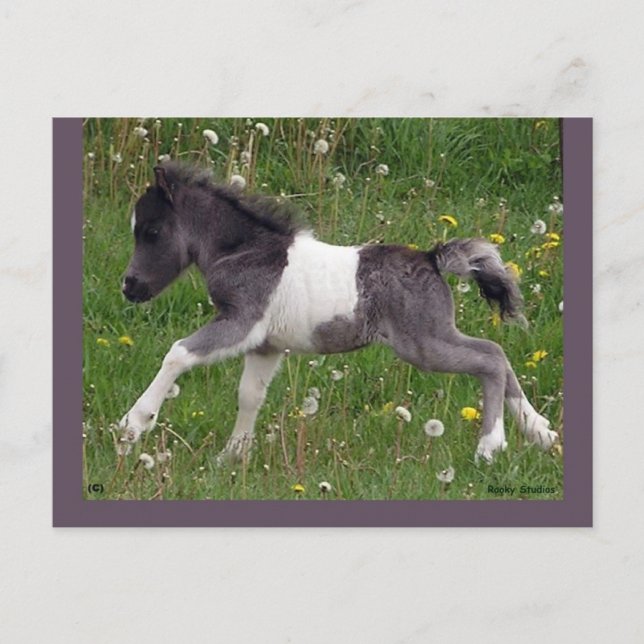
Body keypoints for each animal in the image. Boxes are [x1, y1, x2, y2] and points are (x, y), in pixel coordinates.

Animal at [119, 162, 557, 465]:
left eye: (152, 232)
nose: (129, 286)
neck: (245, 251)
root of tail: (433, 258)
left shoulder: (242, 321)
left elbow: (178, 353)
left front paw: (133, 425)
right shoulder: (265, 345)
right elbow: (250, 395)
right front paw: (232, 456)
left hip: (423, 343)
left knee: (490, 358)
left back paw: (490, 445)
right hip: (432, 338)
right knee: (498, 354)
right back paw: (541, 433)